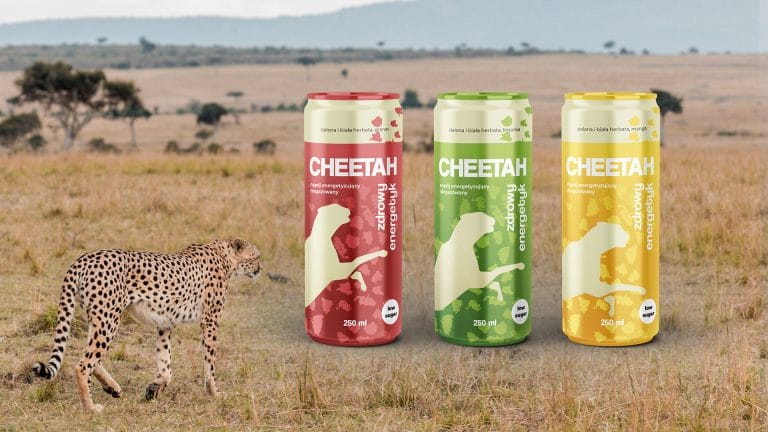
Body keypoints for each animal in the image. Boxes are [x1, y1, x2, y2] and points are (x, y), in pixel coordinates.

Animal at [30, 239, 262, 413]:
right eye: (256, 257)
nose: (260, 268)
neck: (225, 256)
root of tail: (84, 258)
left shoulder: (165, 323)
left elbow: (165, 363)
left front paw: (154, 389)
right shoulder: (210, 320)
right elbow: (210, 362)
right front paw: (215, 393)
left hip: (98, 317)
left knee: (91, 357)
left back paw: (112, 388)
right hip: (108, 319)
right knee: (83, 364)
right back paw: (90, 408)